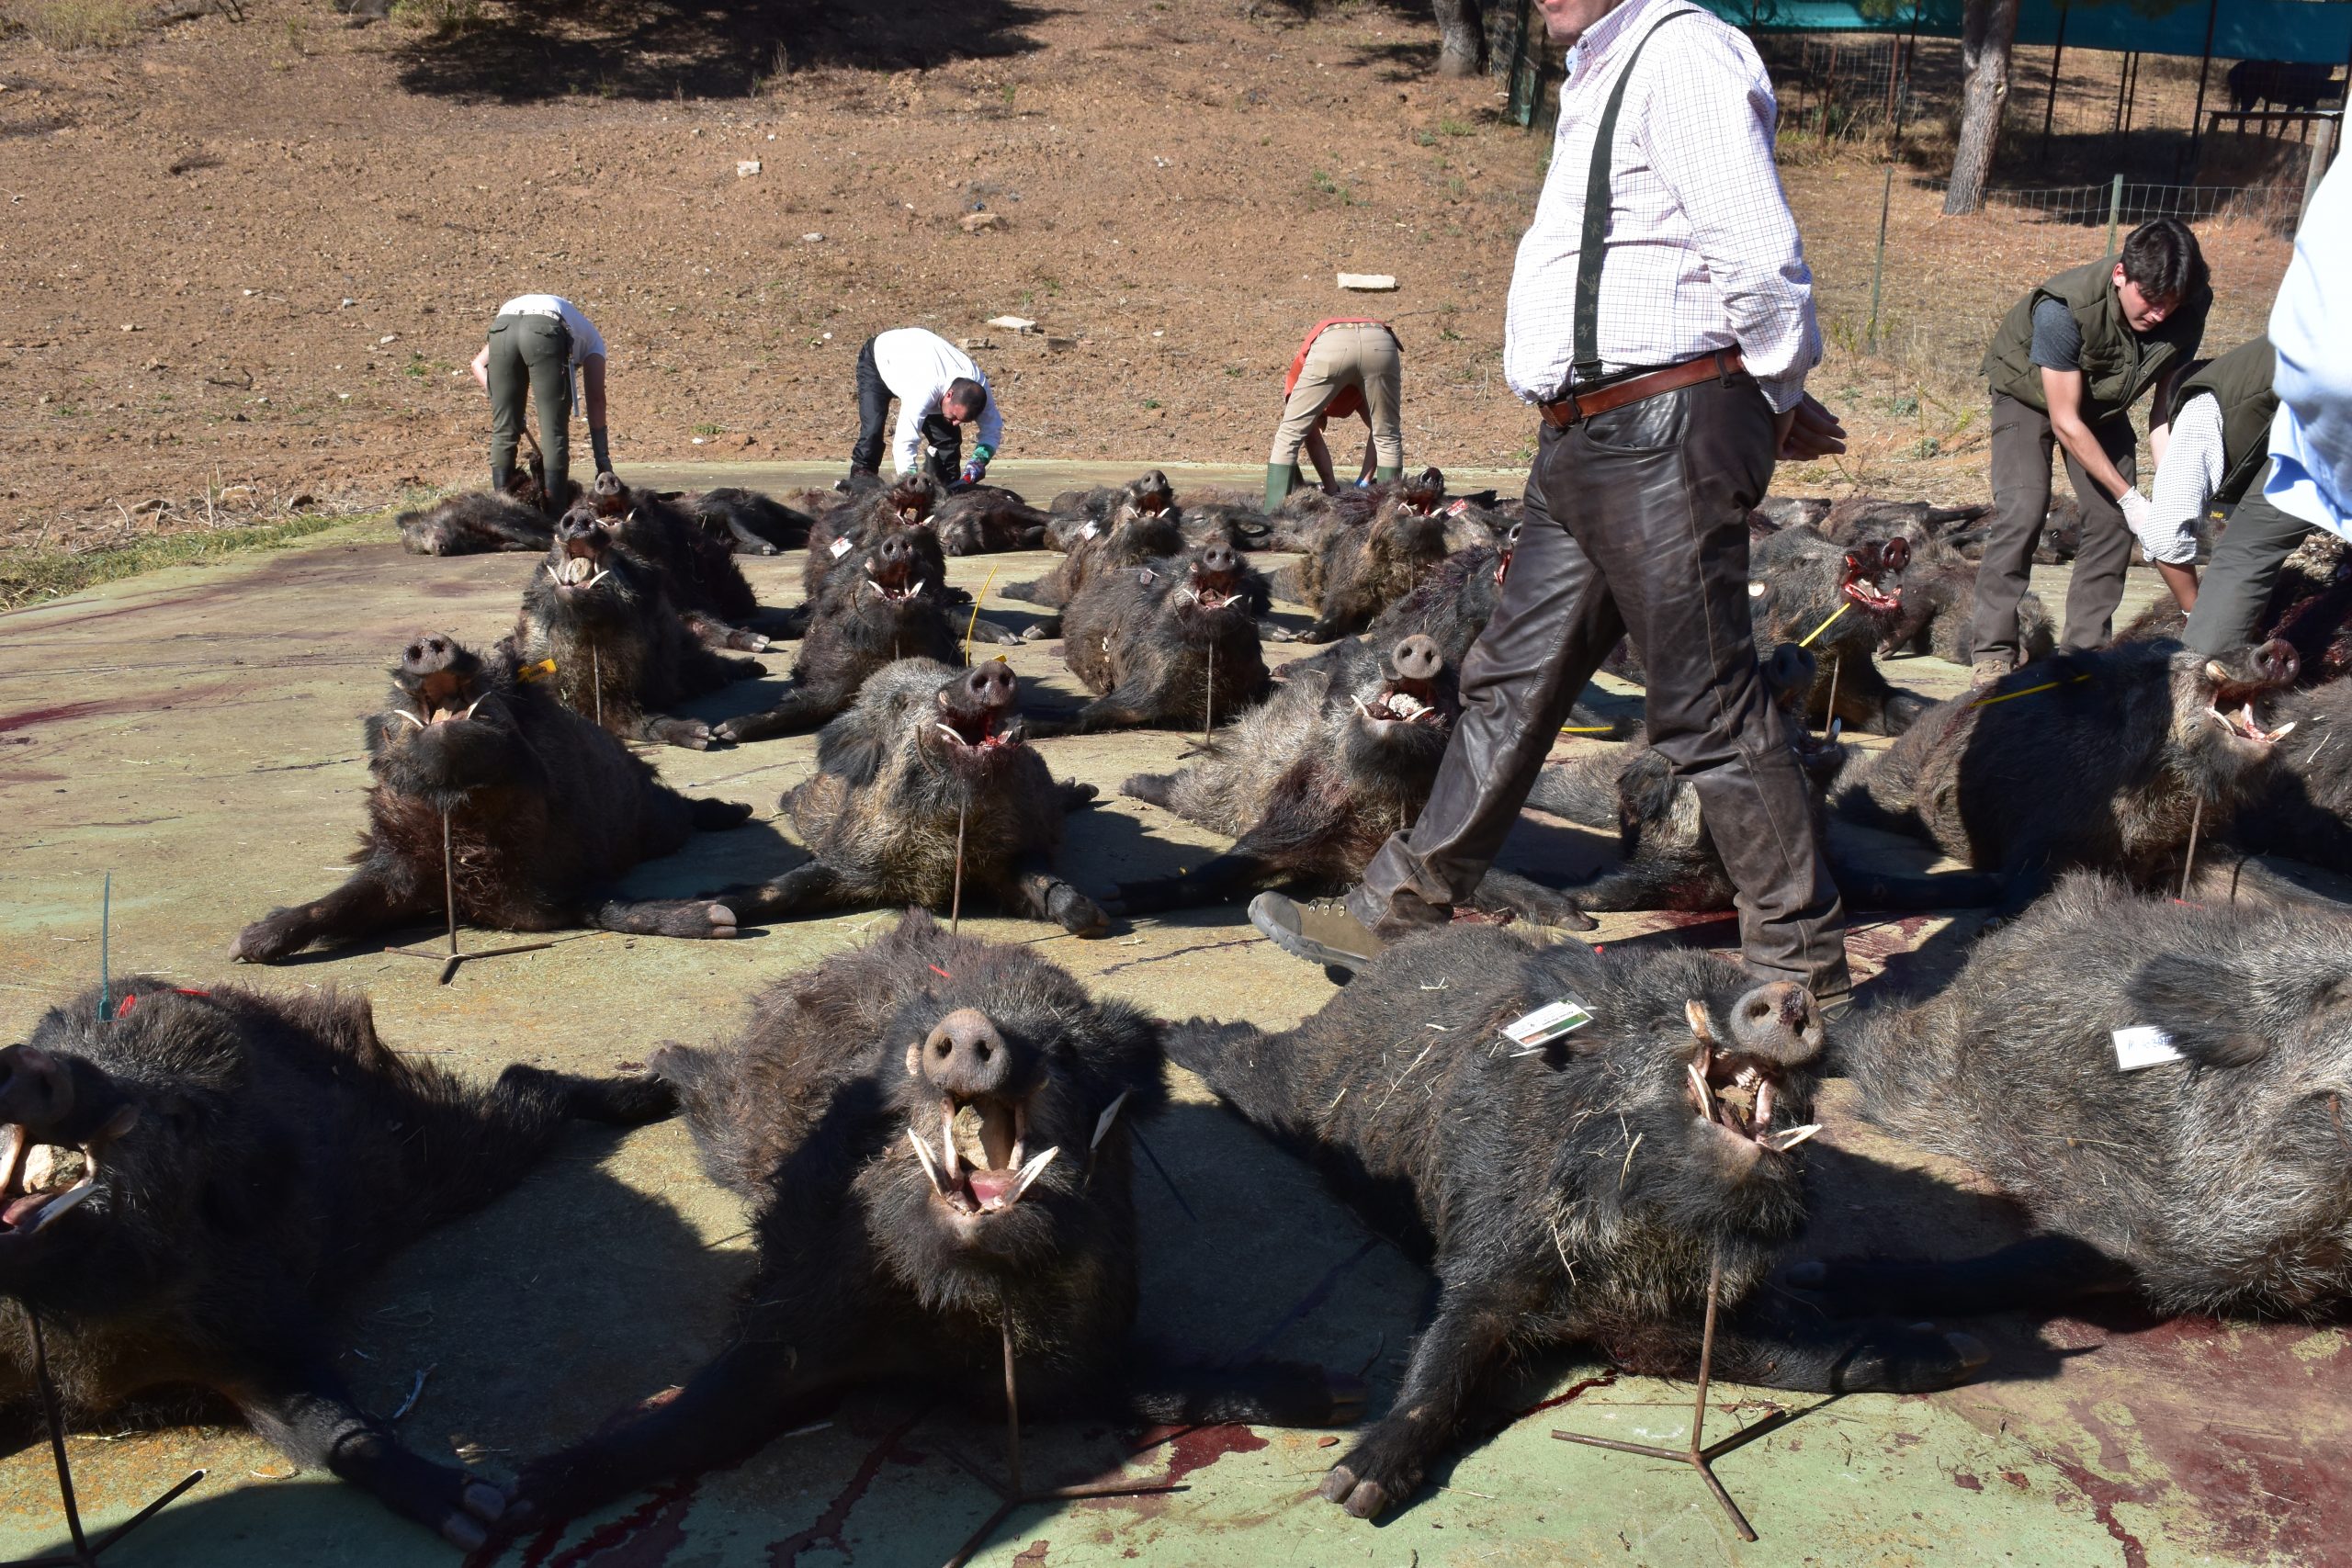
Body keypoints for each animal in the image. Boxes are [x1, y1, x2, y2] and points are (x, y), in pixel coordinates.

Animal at [0, 977, 675, 1548]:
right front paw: (479, 1511)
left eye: (178, 1117)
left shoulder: (253, 1321)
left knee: (523, 1089)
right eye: (51, 1048)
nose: (33, 1064)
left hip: (433, 1155)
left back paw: (655, 1094)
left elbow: (333, 1426)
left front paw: (482, 1513)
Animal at [232, 635, 748, 962]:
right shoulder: (400, 866)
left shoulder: (557, 878)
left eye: (496, 680)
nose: (428, 641)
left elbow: (606, 909)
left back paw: (738, 811)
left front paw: (722, 920)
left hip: (655, 821)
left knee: (681, 811)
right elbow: (339, 901)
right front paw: (243, 948)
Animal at [505, 912, 1360, 1528]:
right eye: (920, 1046)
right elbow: (713, 1406)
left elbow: (1148, 1390)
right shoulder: (808, 1300)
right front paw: (520, 1498)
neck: (956, 1316)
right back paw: (589, 1076)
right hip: (731, 1119)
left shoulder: (1076, 1352)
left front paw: (1330, 1393)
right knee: (688, 1074)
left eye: (1067, 1045)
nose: (971, 1028)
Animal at [508, 507, 766, 750]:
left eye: (622, 560)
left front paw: (705, 735)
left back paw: (758, 661)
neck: (590, 634)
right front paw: (701, 735)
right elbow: (631, 722)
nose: (580, 514)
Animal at [1169, 925, 1985, 1519]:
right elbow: (1443, 1350)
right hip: (1292, 1083)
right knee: (1246, 1057)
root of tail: (1390, 955)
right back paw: (1179, 1033)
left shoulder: (1659, 1322)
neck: (1628, 1250)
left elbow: (1788, 1357)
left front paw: (1950, 1355)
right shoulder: (1488, 1247)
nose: (1791, 995)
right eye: (1665, 1006)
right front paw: (1351, 1490)